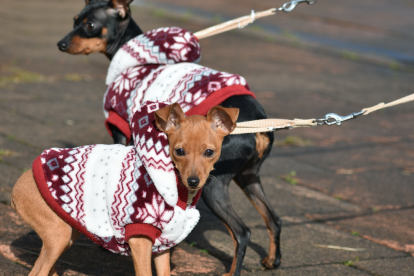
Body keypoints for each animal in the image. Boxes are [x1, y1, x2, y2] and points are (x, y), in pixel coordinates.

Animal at [11, 103, 238, 276]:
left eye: (209, 152)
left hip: (68, 233)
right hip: (59, 235)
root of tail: (17, 186)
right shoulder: (140, 237)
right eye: (179, 151)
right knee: (37, 272)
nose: (193, 181)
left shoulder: (163, 243)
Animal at [56, 1, 282, 274]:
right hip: (247, 176)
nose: (61, 44)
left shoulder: (120, 131)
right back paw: (273, 260)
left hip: (212, 184)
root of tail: (259, 123)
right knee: (274, 218)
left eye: (90, 25)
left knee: (242, 232)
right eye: (74, 20)